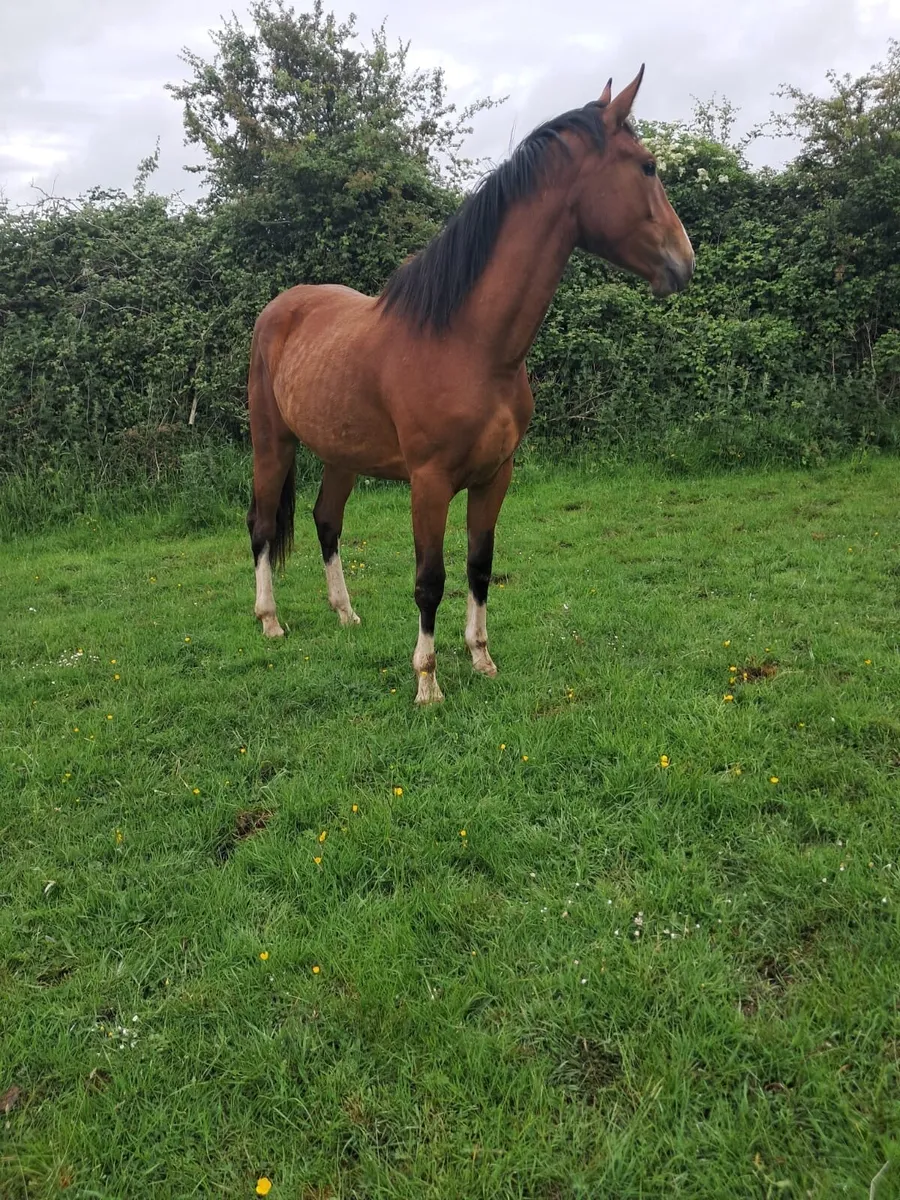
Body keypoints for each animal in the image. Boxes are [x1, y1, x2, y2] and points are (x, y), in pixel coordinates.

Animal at [245, 67, 694, 703]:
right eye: (648, 167)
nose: (685, 261)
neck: (470, 344)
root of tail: (279, 308)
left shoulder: (494, 477)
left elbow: (479, 565)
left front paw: (481, 658)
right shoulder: (429, 483)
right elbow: (429, 578)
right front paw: (427, 682)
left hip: (341, 455)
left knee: (326, 520)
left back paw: (345, 614)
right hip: (272, 443)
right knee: (262, 525)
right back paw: (270, 621)